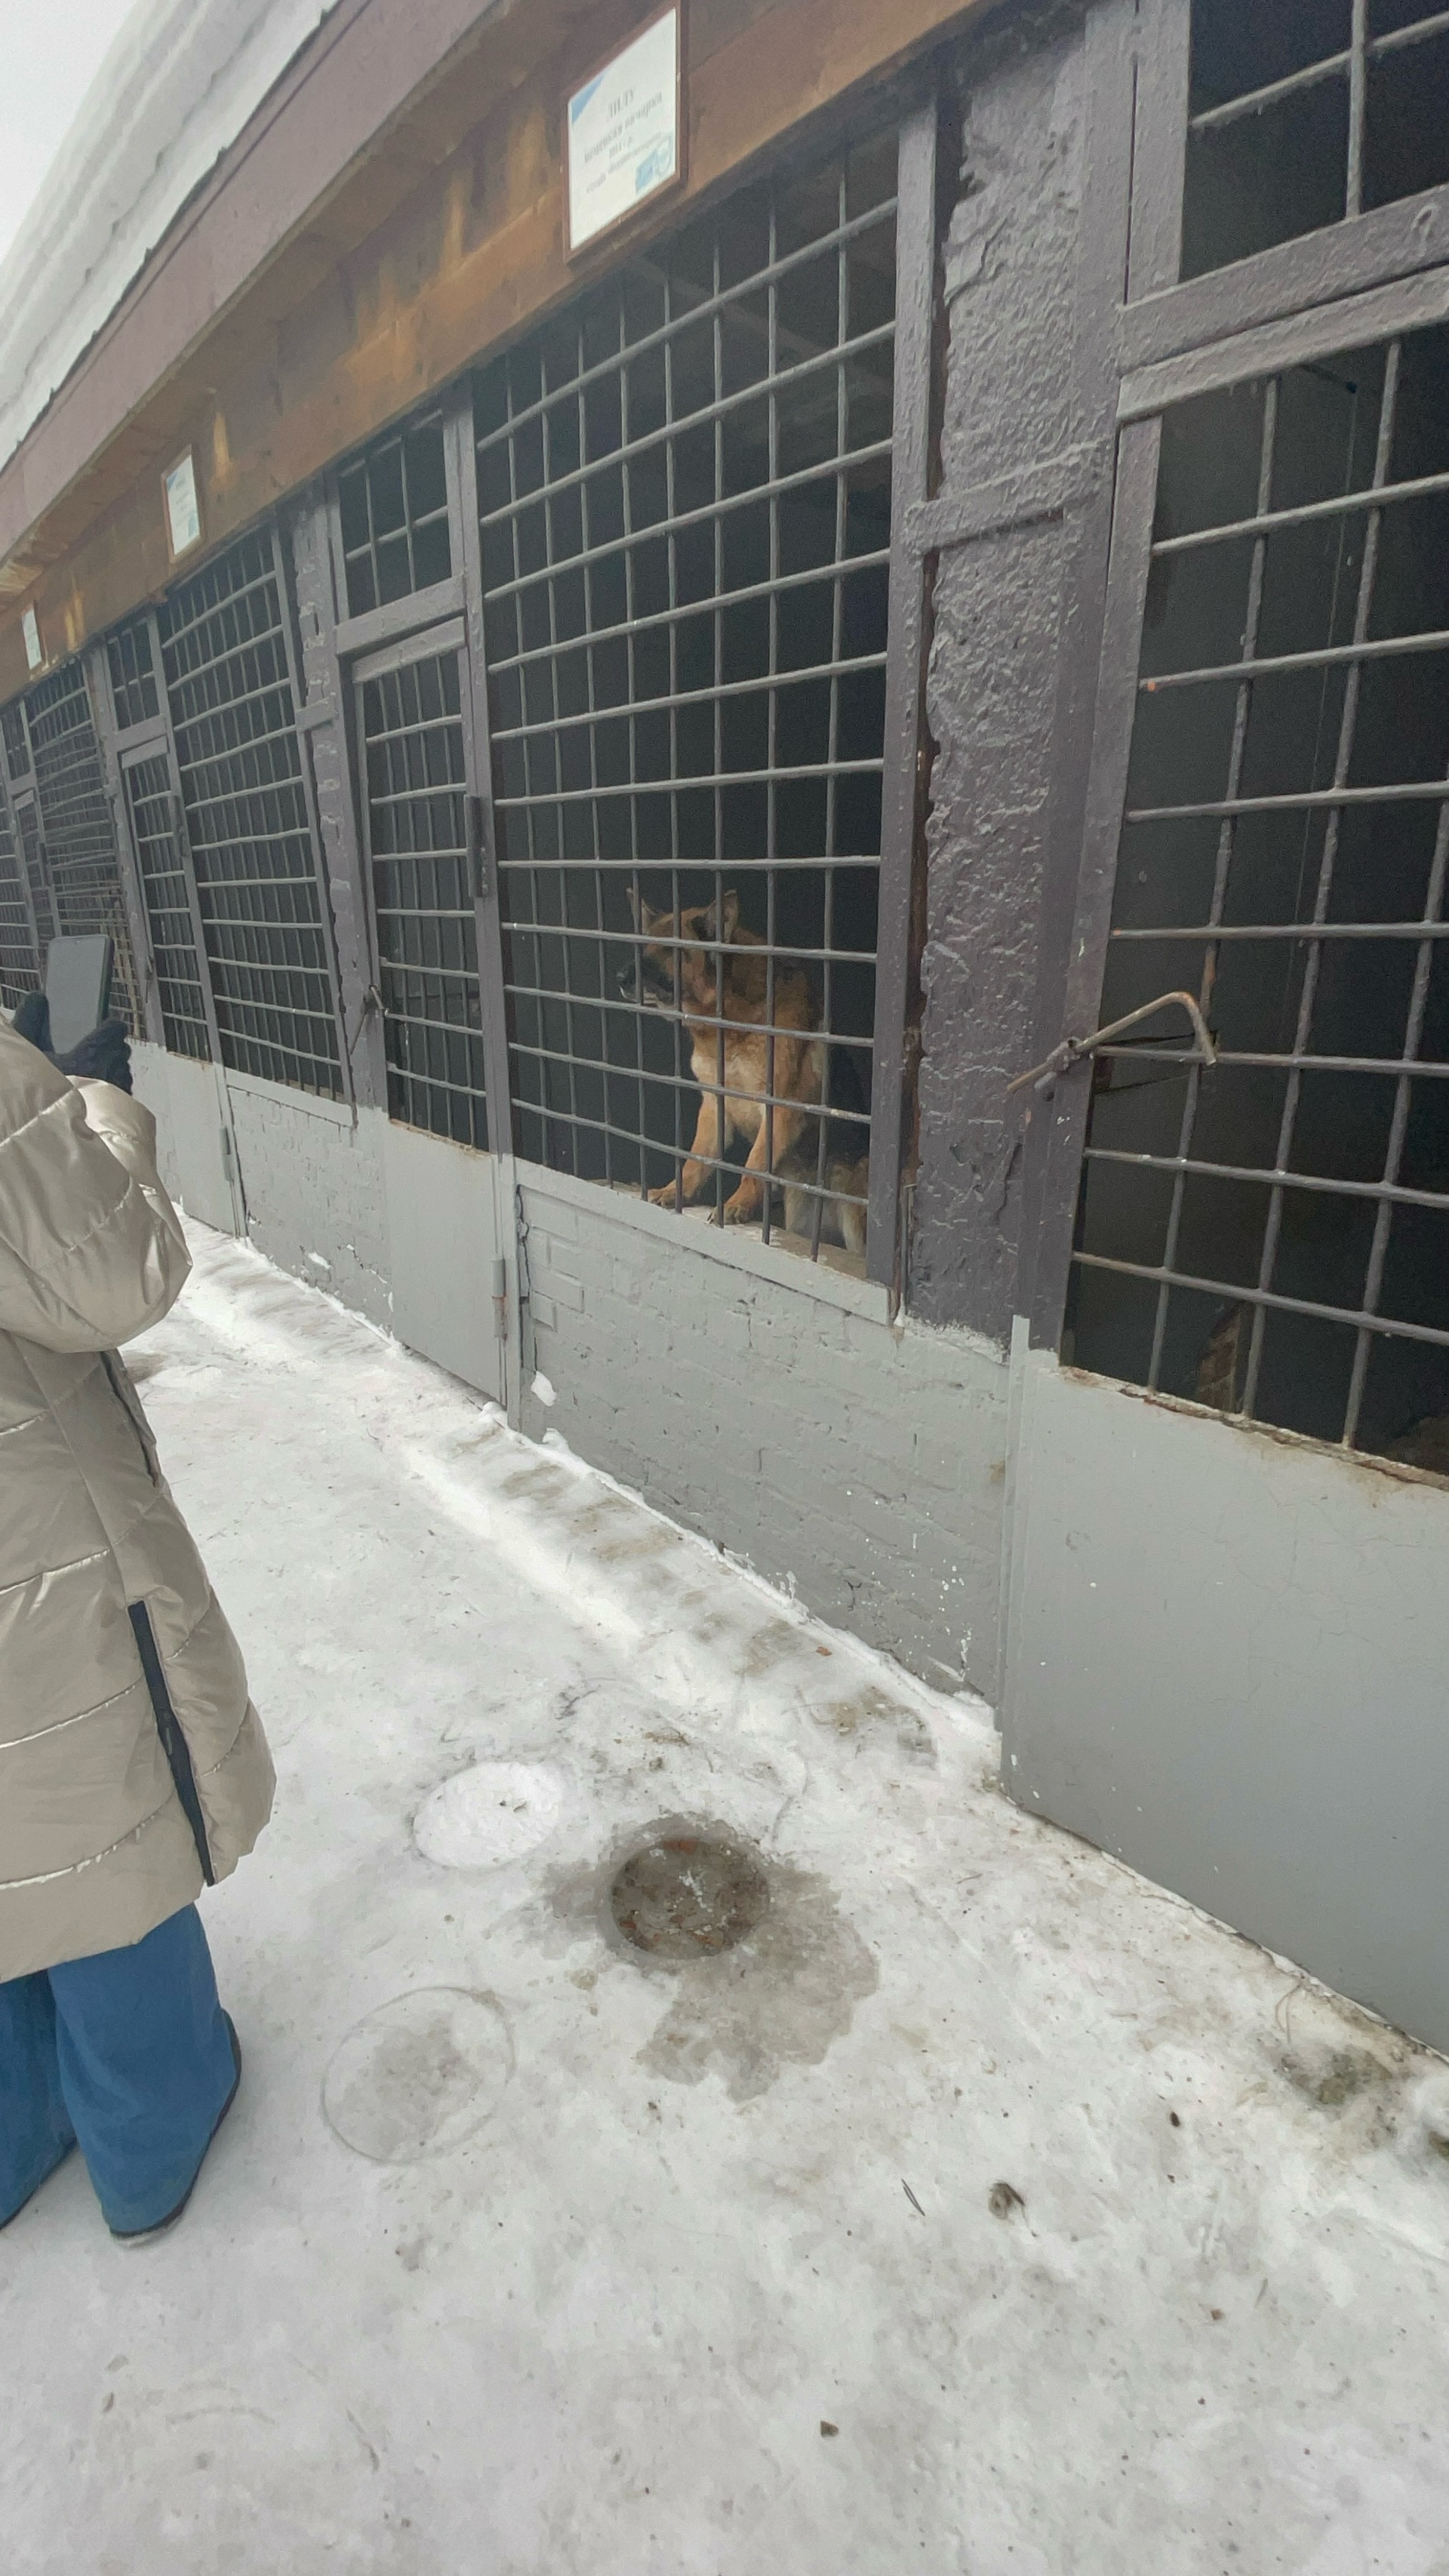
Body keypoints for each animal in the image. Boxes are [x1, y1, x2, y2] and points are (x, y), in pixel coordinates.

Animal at [623, 891, 875, 1251]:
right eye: (642, 946)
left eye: (670, 950)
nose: (620, 978)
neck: (730, 1026)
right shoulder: (715, 1106)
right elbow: (695, 1159)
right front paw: (675, 1191)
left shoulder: (778, 1110)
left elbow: (753, 1165)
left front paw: (736, 1204)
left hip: (855, 1221)